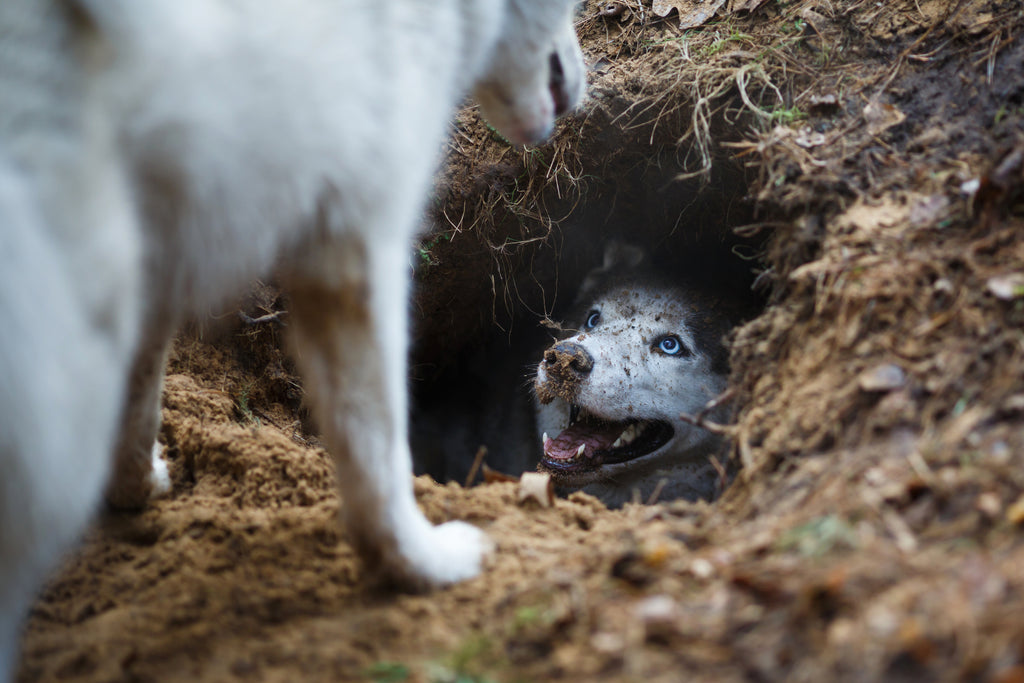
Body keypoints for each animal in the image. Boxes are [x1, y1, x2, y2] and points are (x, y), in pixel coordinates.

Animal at [0, 0, 585, 671]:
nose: (578, 93)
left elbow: (142, 397)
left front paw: (135, 489)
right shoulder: (357, 242)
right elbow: (378, 449)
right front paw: (419, 564)